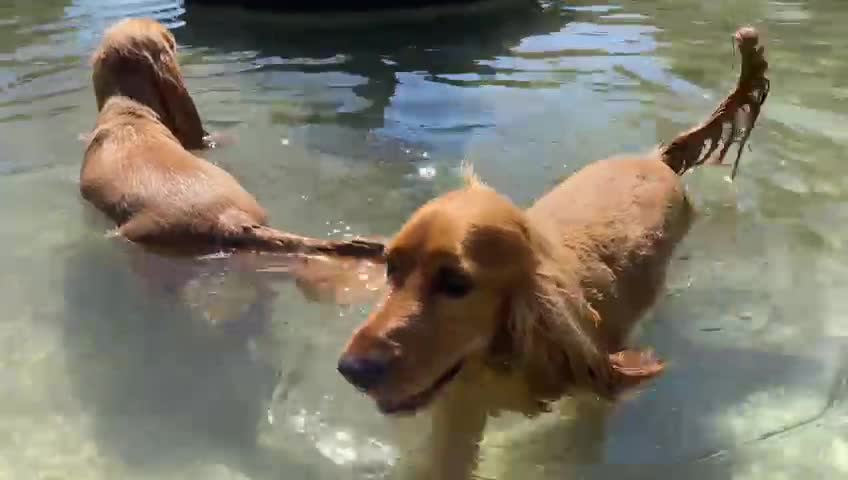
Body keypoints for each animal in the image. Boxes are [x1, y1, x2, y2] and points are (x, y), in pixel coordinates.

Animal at [336, 27, 768, 480]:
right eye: (390, 267)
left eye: (455, 282)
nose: (352, 370)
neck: (504, 357)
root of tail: (658, 159)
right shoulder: (459, 411)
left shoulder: (589, 397)